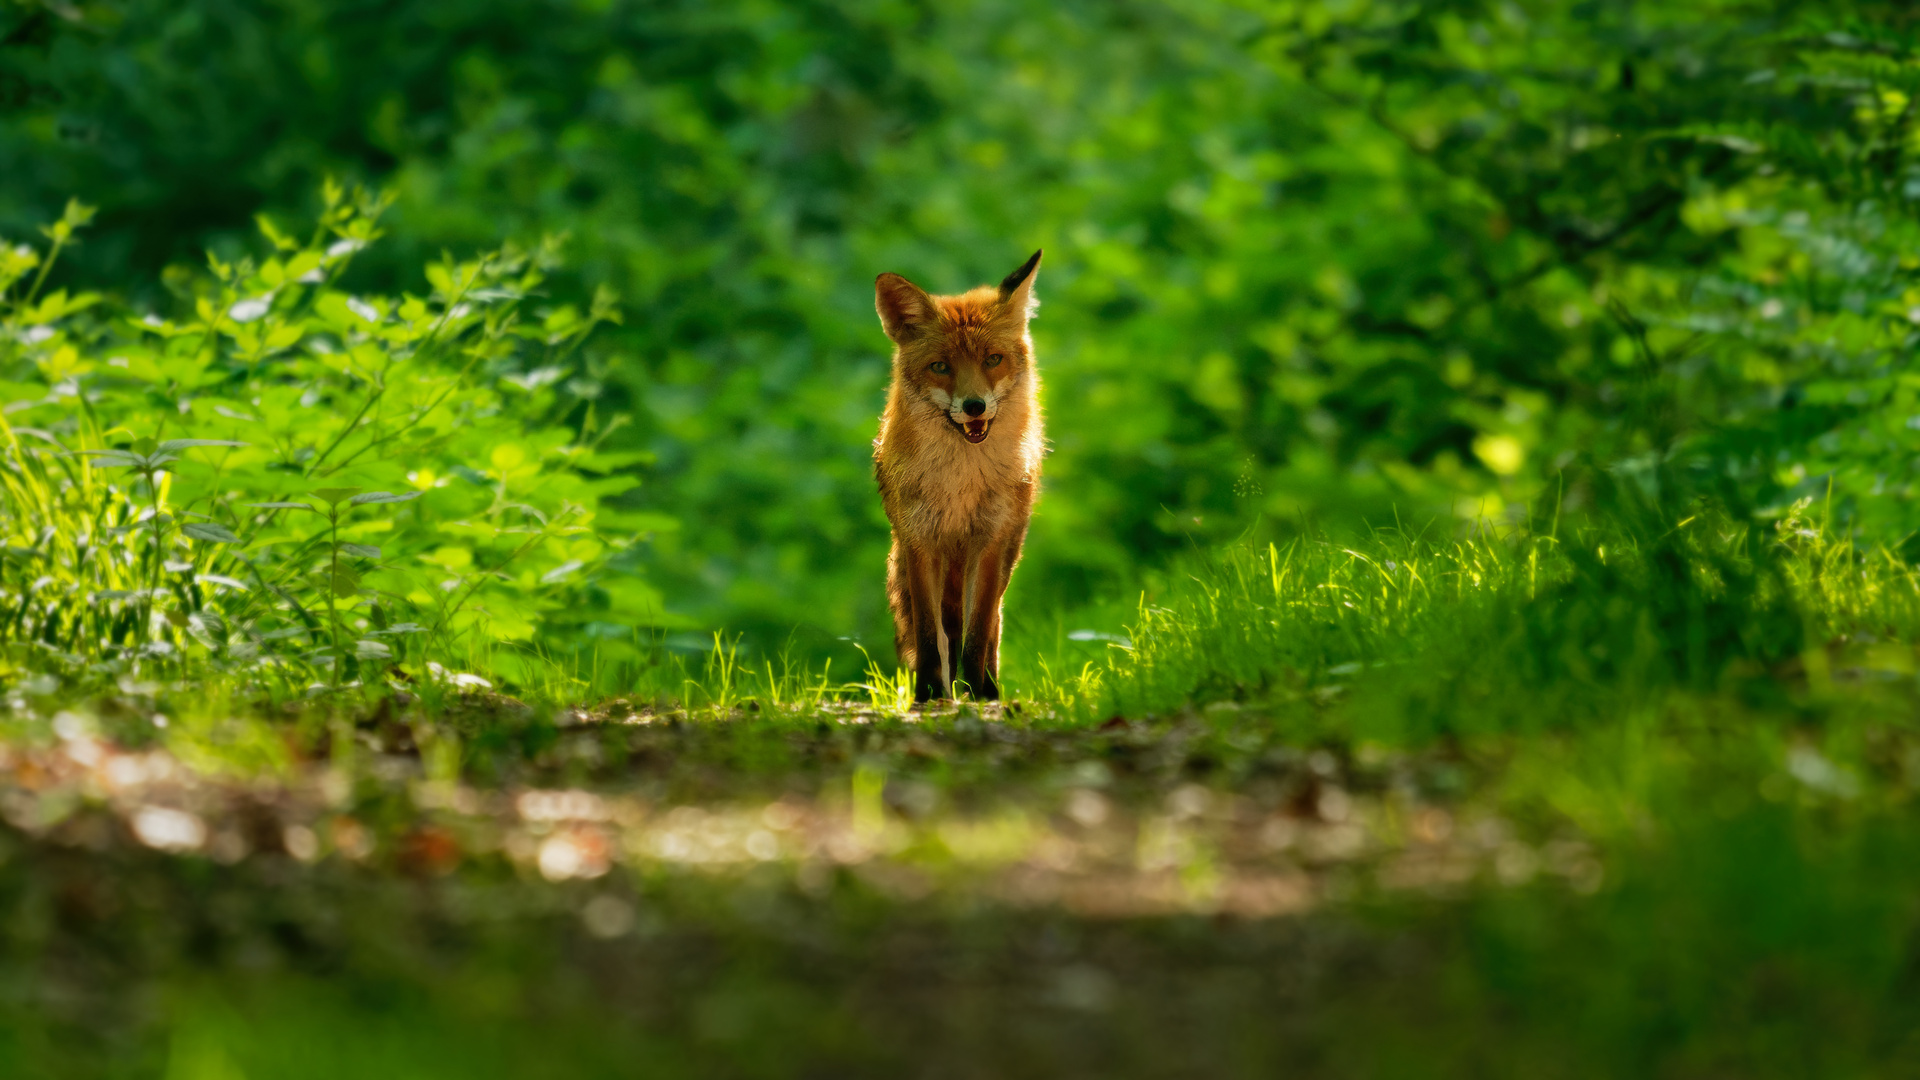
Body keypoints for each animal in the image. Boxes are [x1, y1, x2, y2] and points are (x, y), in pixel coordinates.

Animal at [875, 247, 1044, 703]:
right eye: (940, 367)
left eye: (992, 360)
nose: (974, 407)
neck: (960, 485)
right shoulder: (919, 541)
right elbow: (930, 635)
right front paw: (930, 694)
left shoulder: (990, 541)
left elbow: (979, 630)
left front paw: (978, 693)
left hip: (1007, 554)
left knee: (990, 626)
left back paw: (986, 685)